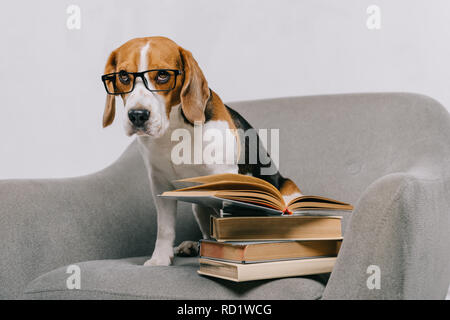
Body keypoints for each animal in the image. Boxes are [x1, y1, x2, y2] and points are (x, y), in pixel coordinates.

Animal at [100, 37, 300, 264]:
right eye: (123, 76)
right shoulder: (159, 184)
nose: (137, 115)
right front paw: (160, 259)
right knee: (207, 235)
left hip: (289, 194)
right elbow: (165, 228)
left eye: (163, 74)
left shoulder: (226, 179)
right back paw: (192, 246)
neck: (173, 129)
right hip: (198, 206)